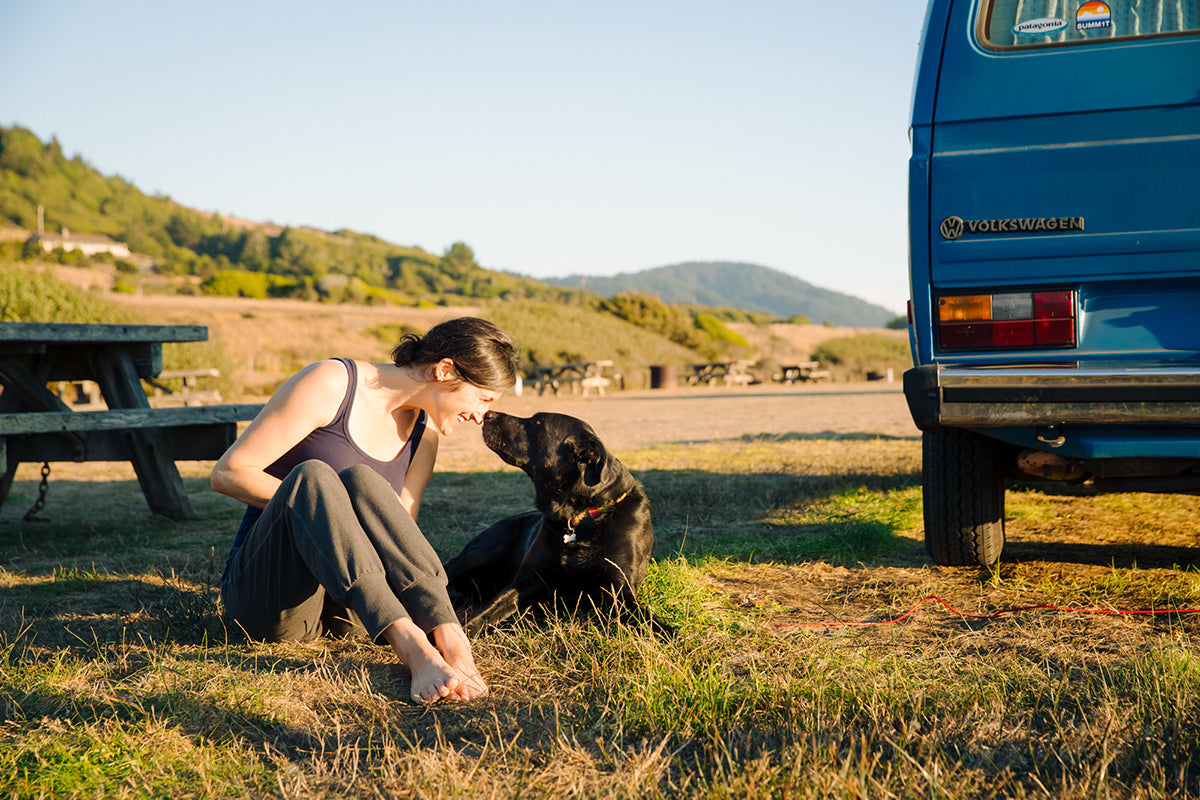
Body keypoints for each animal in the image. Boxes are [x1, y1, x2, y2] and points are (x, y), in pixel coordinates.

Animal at [444, 410, 672, 633]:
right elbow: (488, 611)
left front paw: (671, 634)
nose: (487, 414)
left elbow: (648, 621)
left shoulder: (619, 590)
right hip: (483, 553)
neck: (579, 517)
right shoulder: (527, 579)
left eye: (537, 422)